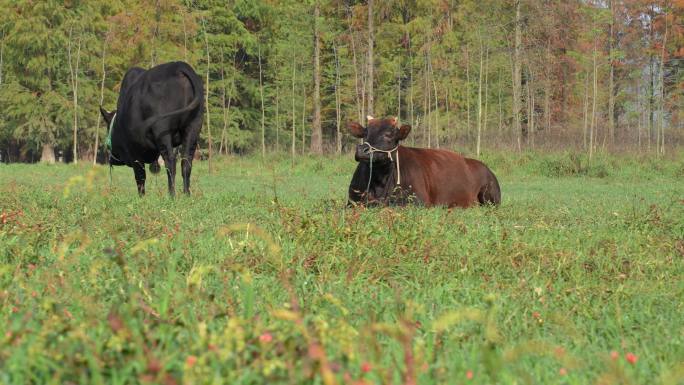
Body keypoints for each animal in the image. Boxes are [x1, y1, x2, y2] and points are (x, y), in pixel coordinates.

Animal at [99, 62, 203, 198]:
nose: (110, 159)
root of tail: (179, 65)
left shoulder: (134, 150)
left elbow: (140, 176)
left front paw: (141, 197)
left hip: (162, 130)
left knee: (170, 163)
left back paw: (172, 195)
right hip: (194, 126)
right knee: (186, 162)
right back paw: (186, 194)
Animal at [348, 116, 502, 207]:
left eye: (389, 134)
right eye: (365, 133)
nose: (362, 150)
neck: (379, 182)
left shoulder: (419, 202)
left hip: (491, 198)